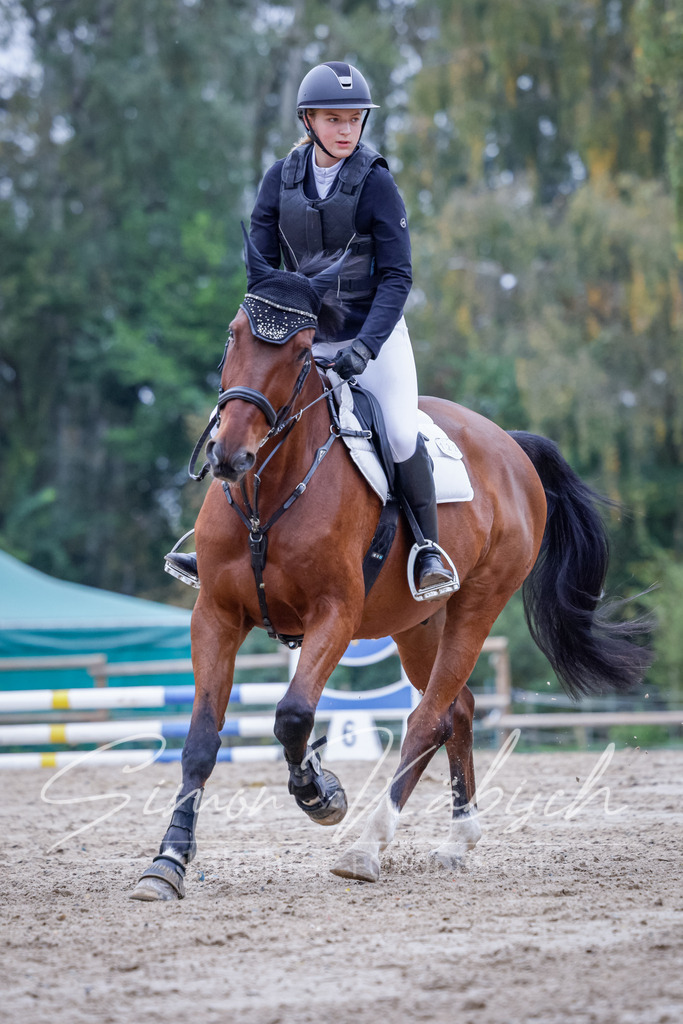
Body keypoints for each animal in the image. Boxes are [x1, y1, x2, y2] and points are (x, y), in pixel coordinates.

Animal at [131, 235, 650, 900]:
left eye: (299, 351)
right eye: (233, 335)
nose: (229, 456)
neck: (269, 491)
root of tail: (509, 445)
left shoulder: (335, 614)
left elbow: (293, 714)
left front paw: (320, 794)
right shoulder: (216, 615)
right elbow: (201, 739)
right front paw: (167, 862)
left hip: (477, 605)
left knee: (427, 719)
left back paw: (368, 845)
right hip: (417, 624)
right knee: (458, 710)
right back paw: (457, 840)